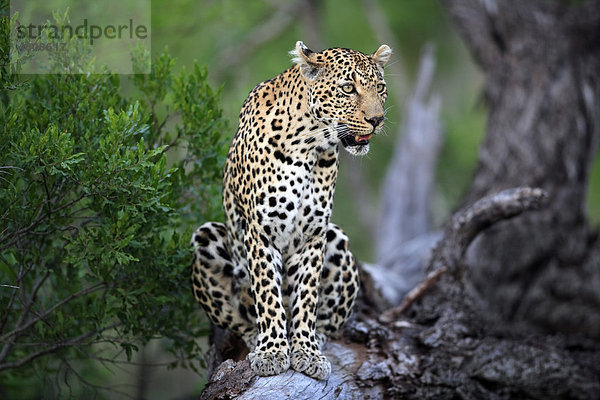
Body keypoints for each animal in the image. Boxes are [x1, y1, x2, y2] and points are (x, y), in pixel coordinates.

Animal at [190, 41, 392, 382]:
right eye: (348, 88)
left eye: (379, 88)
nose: (376, 120)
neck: (310, 143)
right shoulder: (261, 232)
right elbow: (268, 294)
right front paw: (272, 351)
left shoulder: (314, 234)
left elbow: (306, 297)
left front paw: (306, 351)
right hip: (207, 237)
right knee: (241, 318)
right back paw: (256, 339)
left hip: (337, 239)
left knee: (328, 321)